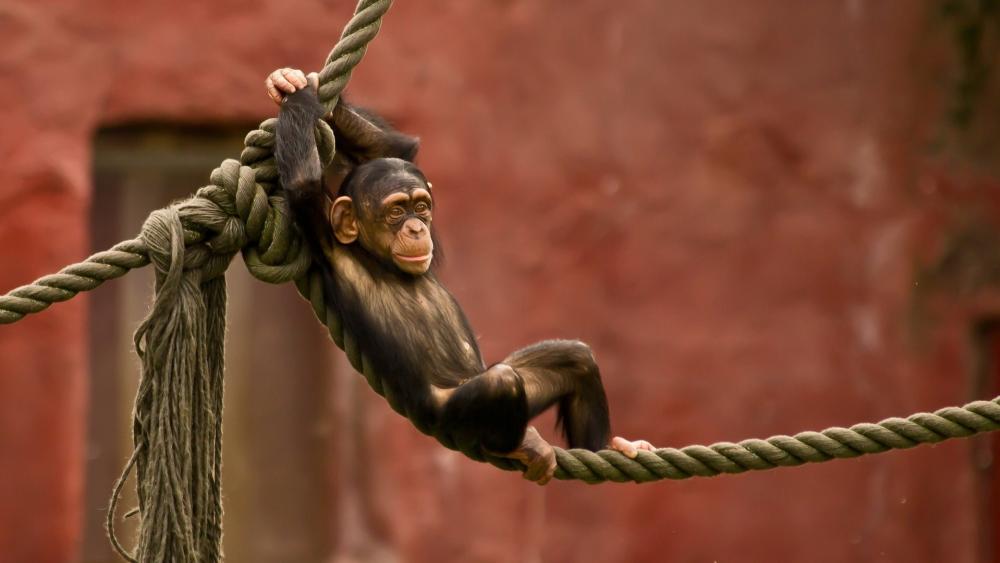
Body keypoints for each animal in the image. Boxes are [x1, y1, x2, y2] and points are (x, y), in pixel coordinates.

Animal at [267, 68, 653, 484]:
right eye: (395, 211)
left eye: (421, 206)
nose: (416, 228)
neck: (380, 260)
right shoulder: (324, 235)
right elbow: (303, 184)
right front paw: (295, 95)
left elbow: (396, 150)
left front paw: (301, 88)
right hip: (453, 417)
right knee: (501, 384)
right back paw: (521, 444)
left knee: (574, 358)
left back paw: (611, 447)